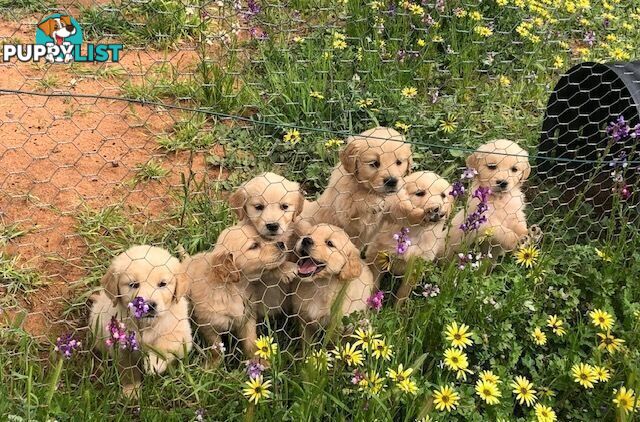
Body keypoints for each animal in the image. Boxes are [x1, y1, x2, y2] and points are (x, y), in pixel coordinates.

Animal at [89, 244, 191, 396]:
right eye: (133, 284)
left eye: (162, 284)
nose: (148, 305)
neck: (146, 325)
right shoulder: (121, 347)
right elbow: (128, 370)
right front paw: (131, 391)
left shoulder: (182, 333)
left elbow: (166, 342)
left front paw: (154, 361)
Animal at [185, 226, 290, 362]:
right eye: (254, 246)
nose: (281, 243)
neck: (233, 289)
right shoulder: (207, 324)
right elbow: (216, 347)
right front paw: (213, 364)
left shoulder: (247, 317)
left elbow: (250, 342)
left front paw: (260, 361)